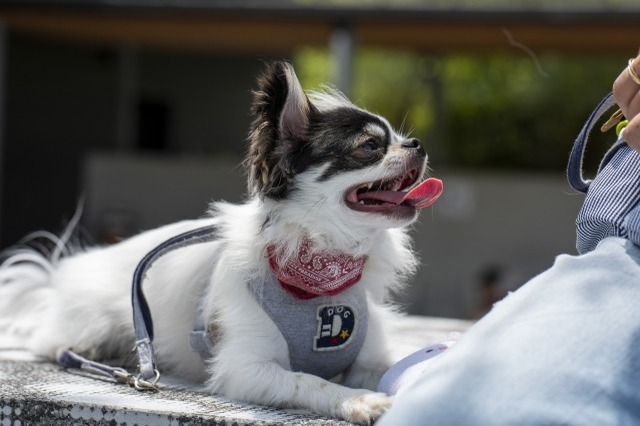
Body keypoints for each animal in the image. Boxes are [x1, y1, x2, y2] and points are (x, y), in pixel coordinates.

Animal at [0, 61, 440, 424]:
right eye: (370, 147)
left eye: (402, 136)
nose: (418, 143)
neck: (321, 277)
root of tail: (56, 276)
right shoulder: (246, 369)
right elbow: (308, 381)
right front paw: (360, 401)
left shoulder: (370, 358)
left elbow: (399, 368)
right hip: (90, 325)